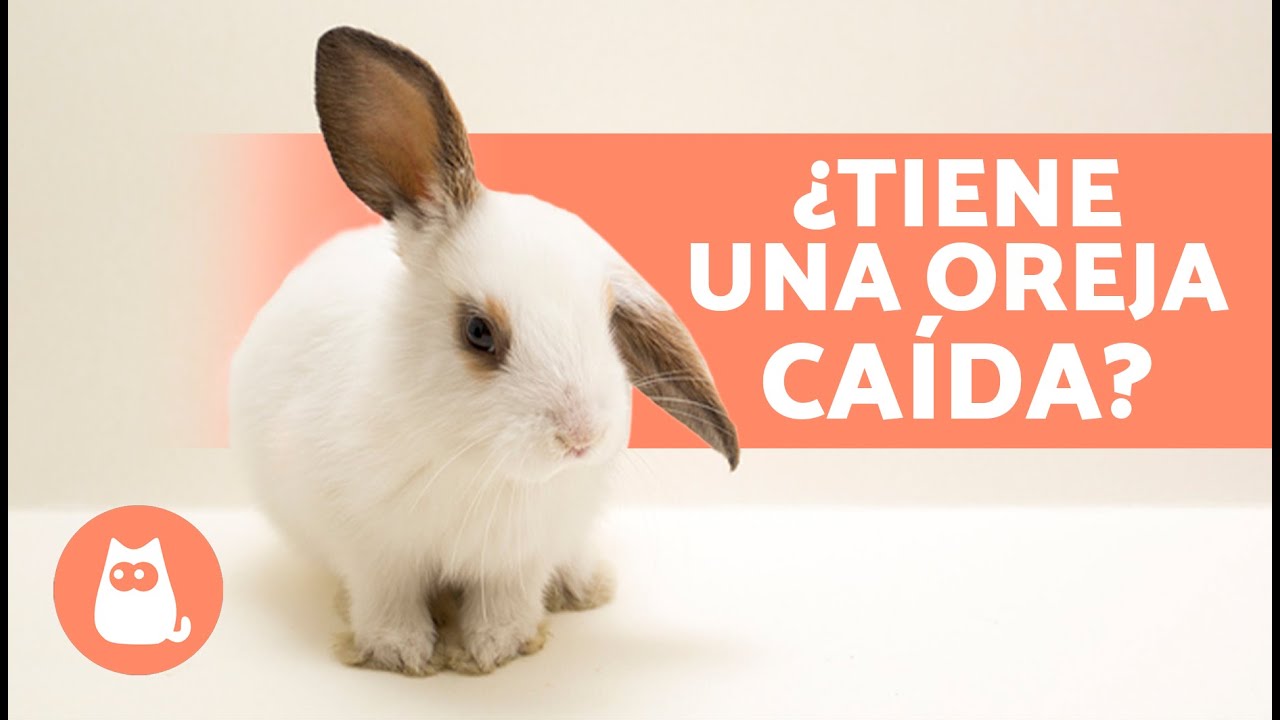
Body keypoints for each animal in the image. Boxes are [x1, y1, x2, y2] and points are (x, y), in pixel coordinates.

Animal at [229, 26, 739, 676]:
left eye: (607, 323)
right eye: (477, 331)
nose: (580, 439)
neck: (479, 466)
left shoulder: (520, 558)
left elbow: (506, 600)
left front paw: (496, 647)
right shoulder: (373, 551)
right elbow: (385, 598)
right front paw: (401, 651)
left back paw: (586, 586)